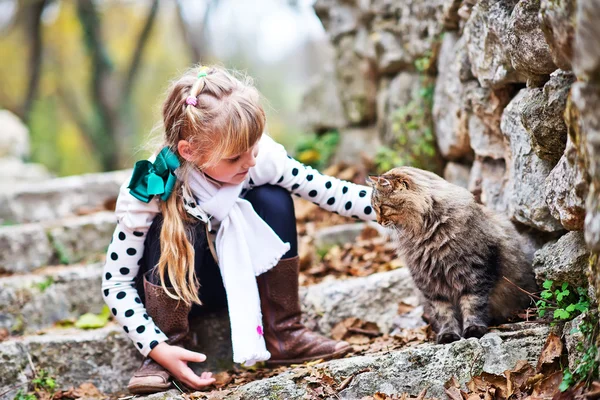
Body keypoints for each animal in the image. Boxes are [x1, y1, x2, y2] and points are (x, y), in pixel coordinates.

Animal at [368, 166, 536, 344]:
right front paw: (448, 335)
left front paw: (473, 330)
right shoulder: (430, 283)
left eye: (381, 207)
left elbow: (473, 305)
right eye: (374, 207)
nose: (378, 222)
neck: (427, 233)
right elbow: (443, 313)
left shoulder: (474, 272)